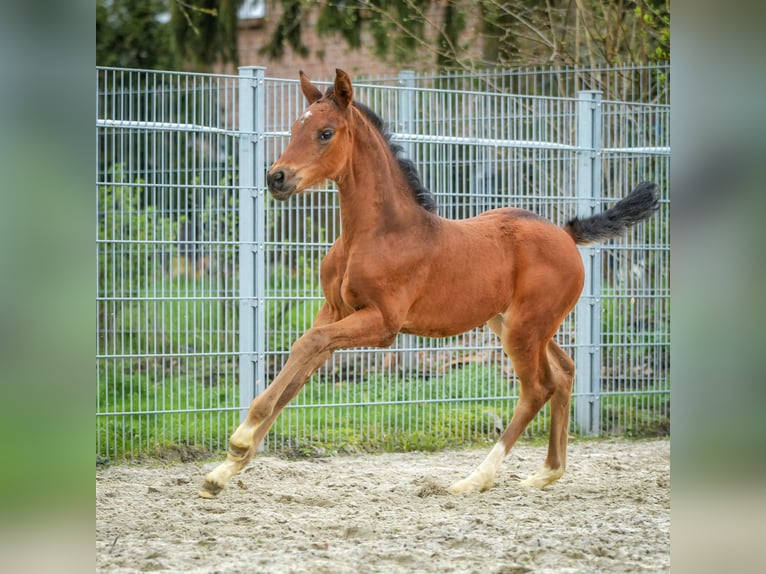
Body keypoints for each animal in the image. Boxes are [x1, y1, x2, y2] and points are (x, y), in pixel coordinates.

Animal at [200, 67, 660, 500]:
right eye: (294, 129)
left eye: (325, 133)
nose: (277, 178)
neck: (375, 234)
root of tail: (566, 234)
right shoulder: (334, 312)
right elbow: (297, 373)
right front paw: (222, 472)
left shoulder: (382, 324)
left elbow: (305, 346)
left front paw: (239, 441)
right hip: (517, 324)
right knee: (564, 373)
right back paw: (546, 472)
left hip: (524, 329)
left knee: (537, 388)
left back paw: (475, 479)